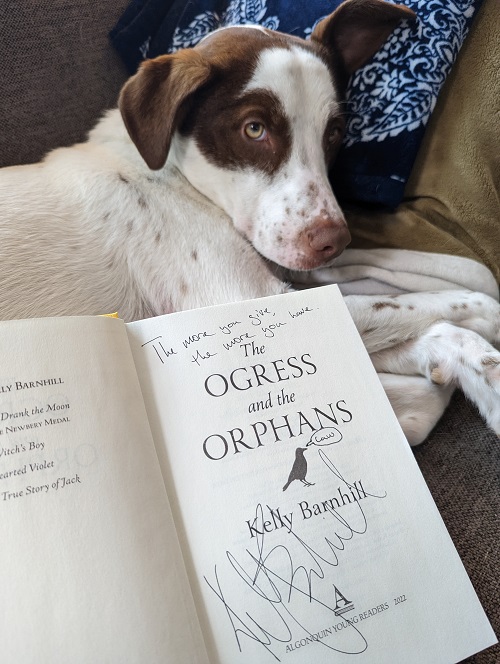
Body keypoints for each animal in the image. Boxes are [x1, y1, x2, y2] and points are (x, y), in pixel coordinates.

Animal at [0, 2, 500, 446]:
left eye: (334, 133)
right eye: (254, 129)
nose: (333, 242)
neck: (174, 177)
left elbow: (439, 288)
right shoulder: (245, 300)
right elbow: (430, 308)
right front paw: (483, 329)